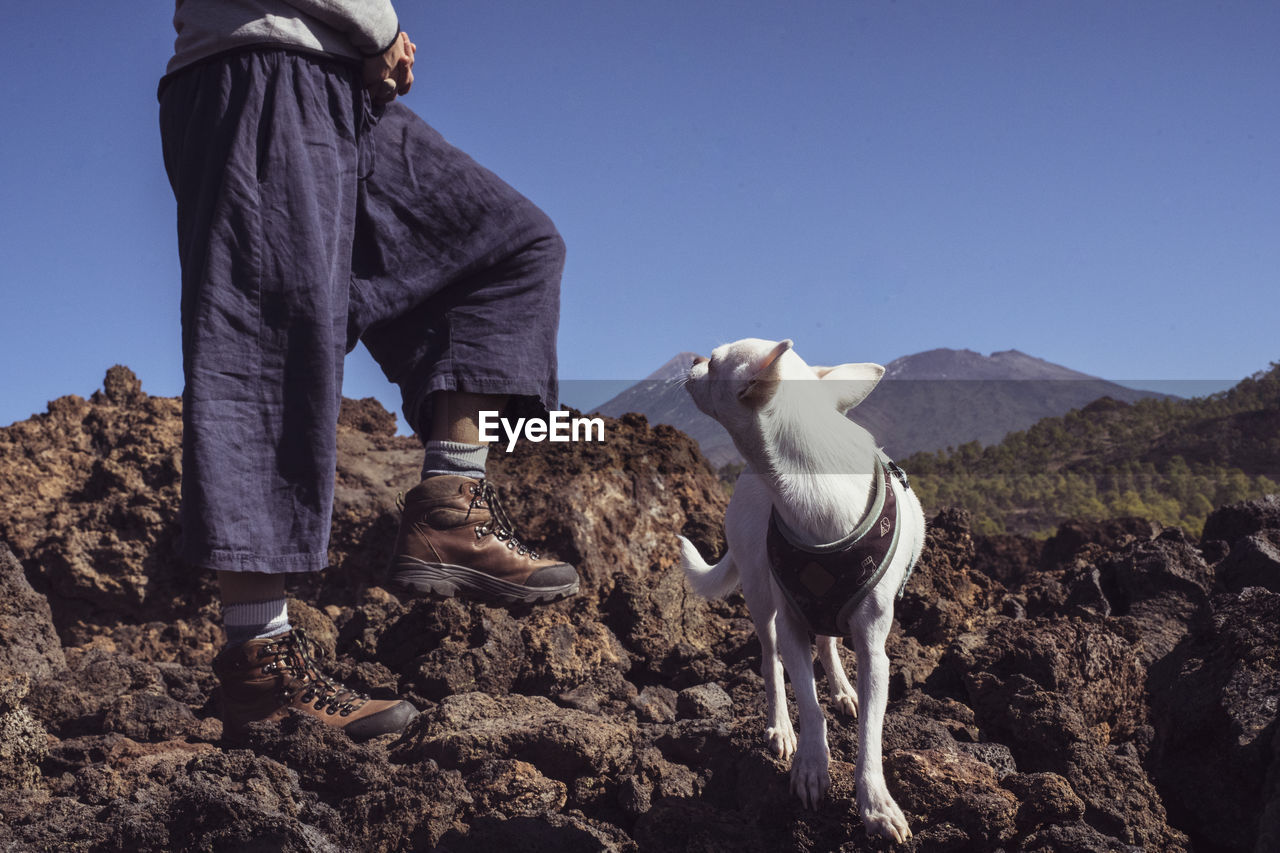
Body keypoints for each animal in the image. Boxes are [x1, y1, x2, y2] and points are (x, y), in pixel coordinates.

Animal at [680, 335, 921, 840]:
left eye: (714, 363)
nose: (691, 358)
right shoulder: (790, 626)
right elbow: (808, 704)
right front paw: (811, 766)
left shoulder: (874, 649)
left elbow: (871, 728)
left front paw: (875, 802)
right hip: (760, 593)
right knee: (771, 662)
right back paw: (781, 727)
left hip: (825, 605)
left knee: (828, 641)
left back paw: (843, 690)